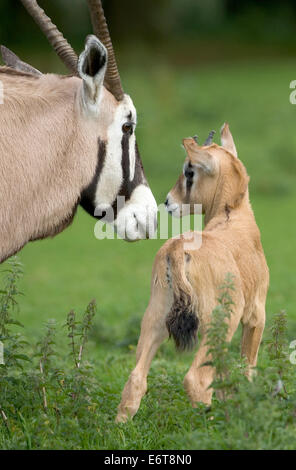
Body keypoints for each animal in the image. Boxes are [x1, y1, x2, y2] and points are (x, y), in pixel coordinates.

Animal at [117, 122, 270, 422]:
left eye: (190, 171)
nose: (168, 201)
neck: (234, 215)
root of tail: (178, 248)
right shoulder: (255, 316)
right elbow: (246, 368)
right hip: (219, 323)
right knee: (196, 379)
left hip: (155, 320)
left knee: (136, 378)